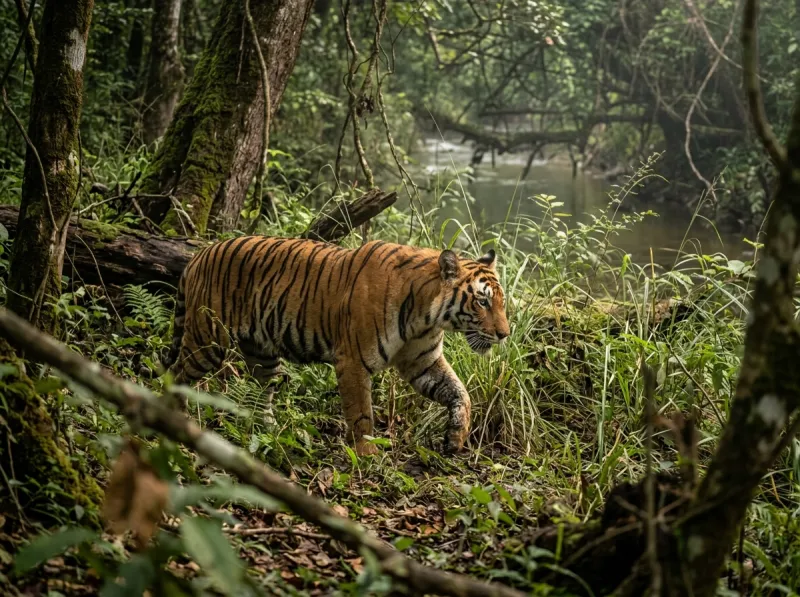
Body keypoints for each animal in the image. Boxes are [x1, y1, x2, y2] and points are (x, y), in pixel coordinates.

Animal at [161, 236, 510, 456]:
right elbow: (361, 414)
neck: (425, 316)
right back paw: (176, 419)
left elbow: (460, 393)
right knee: (177, 373)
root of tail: (200, 254)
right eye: (482, 302)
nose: (505, 335)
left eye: (501, 302)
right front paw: (367, 455)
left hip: (263, 354)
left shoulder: (422, 362)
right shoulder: (353, 361)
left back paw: (272, 431)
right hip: (208, 339)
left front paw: (456, 437)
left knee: (262, 395)